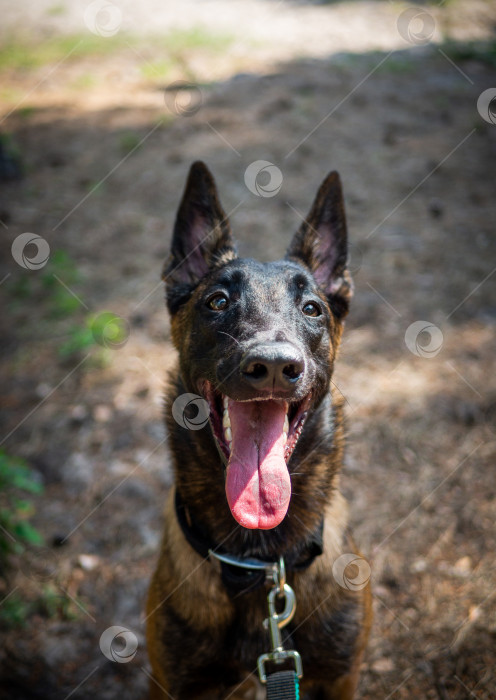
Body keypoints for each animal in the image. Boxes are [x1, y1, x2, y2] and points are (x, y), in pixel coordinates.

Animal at [145, 161, 370, 696]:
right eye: (217, 301)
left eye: (311, 308)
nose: (272, 366)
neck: (259, 563)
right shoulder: (173, 682)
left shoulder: (341, 677)